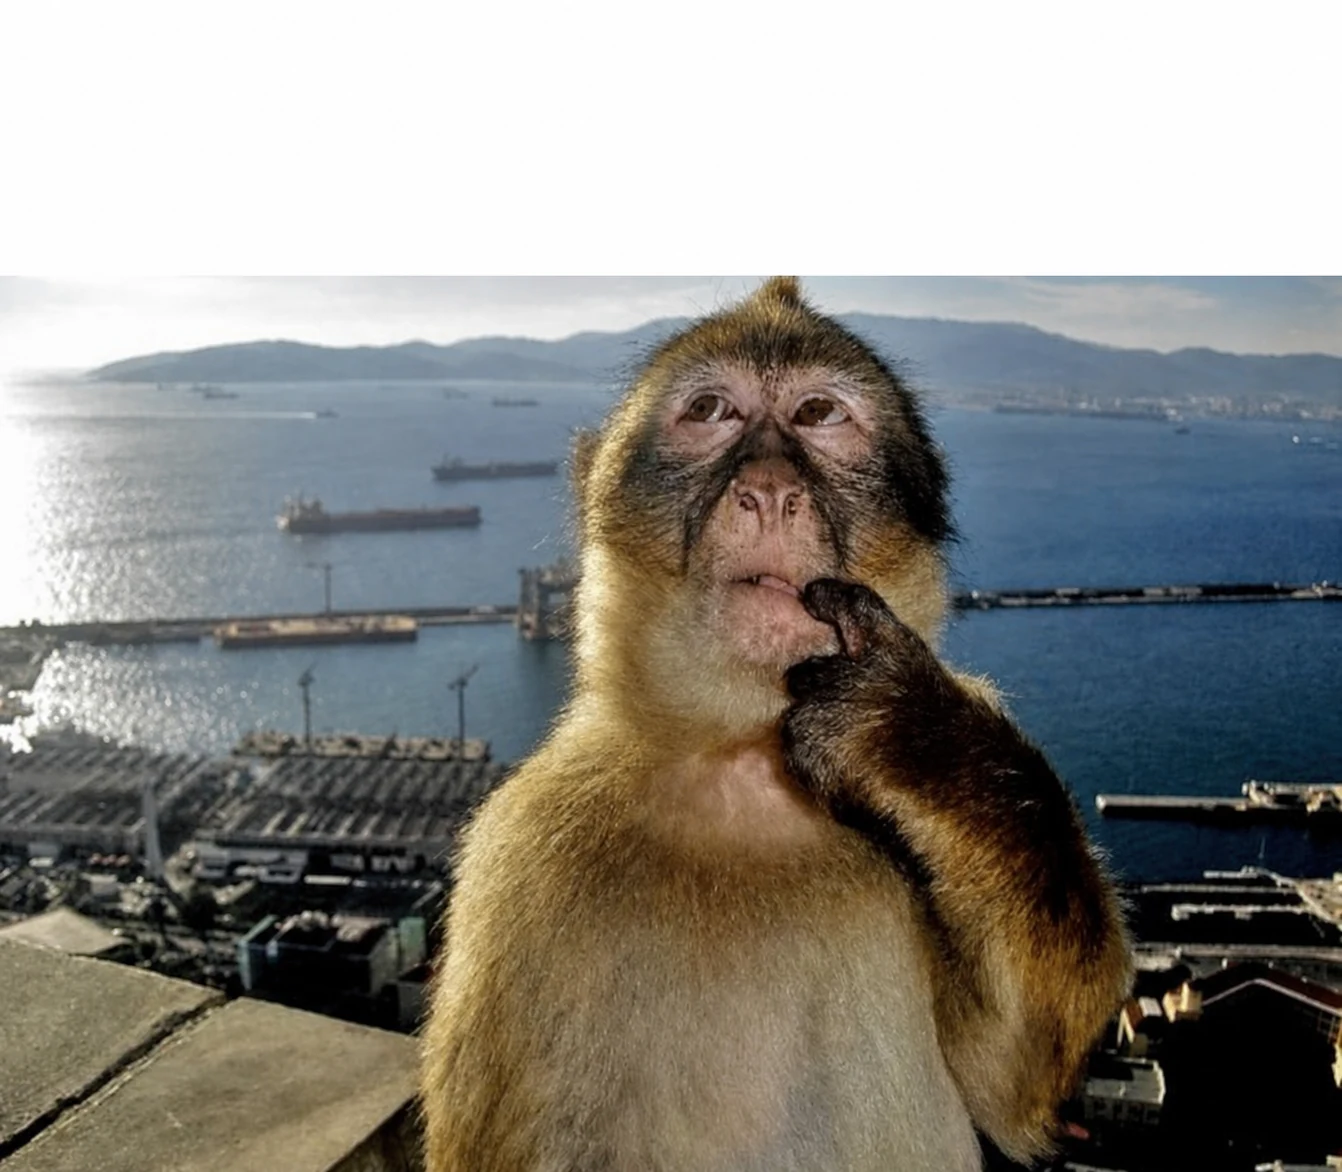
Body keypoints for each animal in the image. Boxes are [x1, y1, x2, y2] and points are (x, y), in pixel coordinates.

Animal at [421, 277, 1132, 1171]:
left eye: (819, 413)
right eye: (711, 410)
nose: (766, 492)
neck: (744, 766)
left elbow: (1012, 1078)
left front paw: (912, 736)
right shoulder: (518, 861)